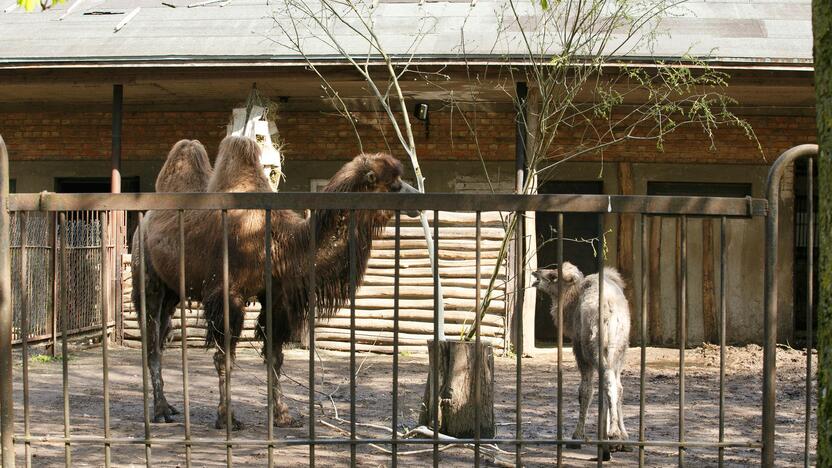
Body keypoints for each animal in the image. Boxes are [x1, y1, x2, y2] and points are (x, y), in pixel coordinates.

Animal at [141, 134, 422, 428]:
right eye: (394, 185)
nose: (417, 198)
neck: (279, 244)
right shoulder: (228, 296)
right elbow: (224, 358)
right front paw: (227, 418)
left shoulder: (276, 299)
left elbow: (275, 358)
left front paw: (282, 415)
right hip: (148, 277)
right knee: (152, 343)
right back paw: (161, 411)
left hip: (172, 291)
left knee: (161, 337)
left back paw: (169, 407)